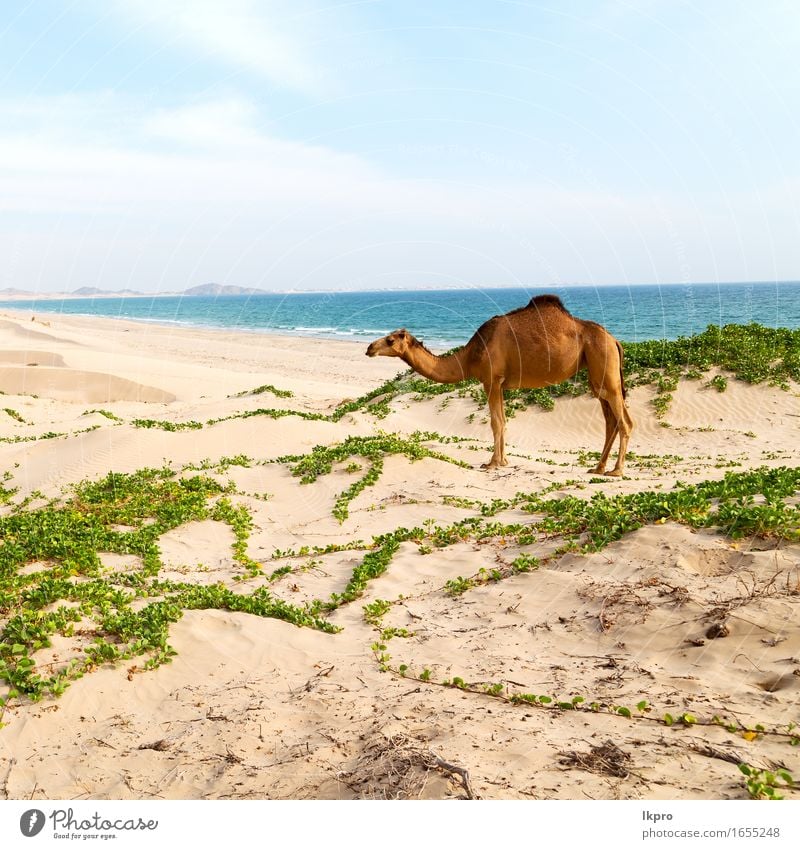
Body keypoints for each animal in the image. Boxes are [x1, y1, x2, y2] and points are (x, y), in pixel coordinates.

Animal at [366, 294, 636, 474]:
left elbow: (496, 422)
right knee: (610, 420)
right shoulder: (501, 384)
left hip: (605, 364)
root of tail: (614, 340)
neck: (470, 355)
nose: (369, 348)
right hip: (596, 373)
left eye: (390, 340)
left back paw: (616, 471)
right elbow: (504, 421)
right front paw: (504, 461)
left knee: (625, 421)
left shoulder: (491, 380)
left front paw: (492, 463)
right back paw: (598, 468)